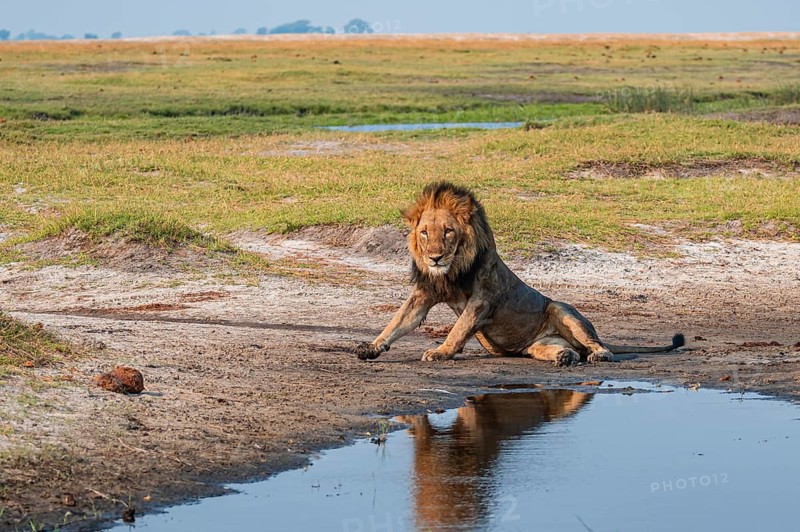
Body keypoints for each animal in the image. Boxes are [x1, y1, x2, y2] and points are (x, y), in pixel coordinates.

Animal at [356, 182, 684, 365]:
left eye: (448, 231)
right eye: (424, 232)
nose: (434, 258)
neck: (452, 269)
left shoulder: (482, 299)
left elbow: (458, 329)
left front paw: (441, 352)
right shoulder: (424, 294)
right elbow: (398, 321)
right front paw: (371, 347)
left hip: (561, 309)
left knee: (597, 345)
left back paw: (599, 354)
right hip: (539, 345)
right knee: (564, 351)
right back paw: (565, 357)